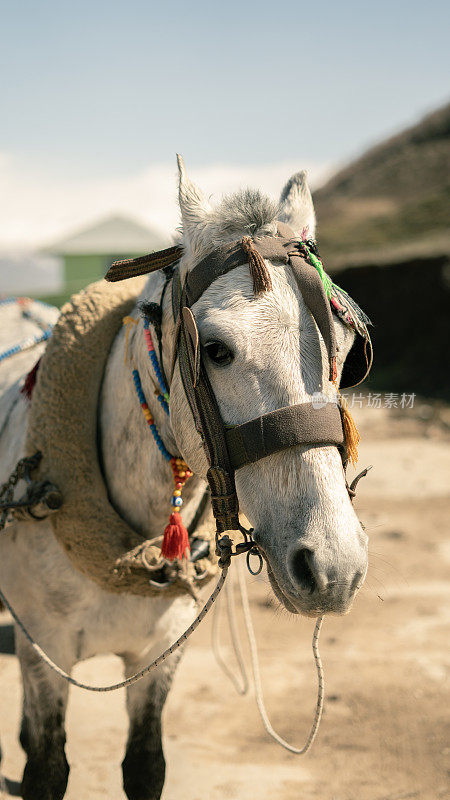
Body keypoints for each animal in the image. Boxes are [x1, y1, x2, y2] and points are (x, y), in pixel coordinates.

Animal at [0, 159, 368, 796]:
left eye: (345, 348)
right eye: (215, 349)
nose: (335, 566)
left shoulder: (163, 655)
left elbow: (146, 765)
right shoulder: (44, 648)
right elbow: (47, 769)